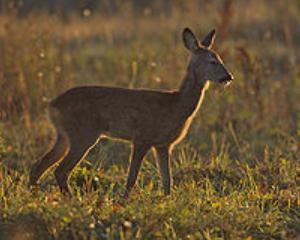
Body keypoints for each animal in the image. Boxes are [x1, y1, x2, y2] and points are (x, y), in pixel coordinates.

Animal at [28, 27, 234, 197]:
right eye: (212, 61)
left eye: (220, 59)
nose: (229, 77)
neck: (176, 105)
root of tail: (51, 107)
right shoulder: (142, 138)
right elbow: (132, 178)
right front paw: (124, 201)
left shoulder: (163, 145)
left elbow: (167, 180)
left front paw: (168, 201)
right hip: (83, 134)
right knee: (60, 170)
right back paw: (71, 199)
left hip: (64, 135)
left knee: (38, 166)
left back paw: (34, 196)